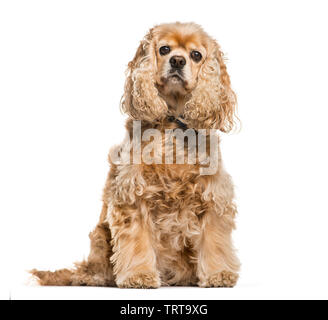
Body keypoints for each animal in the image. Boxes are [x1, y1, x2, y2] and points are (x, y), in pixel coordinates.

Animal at [30, 22, 240, 288]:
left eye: (196, 55)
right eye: (164, 49)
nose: (177, 61)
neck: (172, 122)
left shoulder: (213, 195)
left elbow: (215, 240)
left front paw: (218, 274)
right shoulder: (132, 194)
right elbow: (137, 241)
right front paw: (138, 275)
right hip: (100, 236)